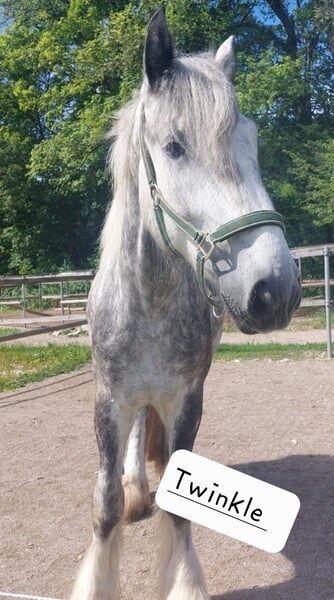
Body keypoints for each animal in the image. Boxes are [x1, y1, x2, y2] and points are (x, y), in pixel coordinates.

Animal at [72, 9, 302, 600]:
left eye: (252, 141)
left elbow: (178, 510)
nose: (275, 288)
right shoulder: (108, 400)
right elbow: (105, 506)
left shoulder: (186, 400)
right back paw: (136, 487)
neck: (150, 305)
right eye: (174, 146)